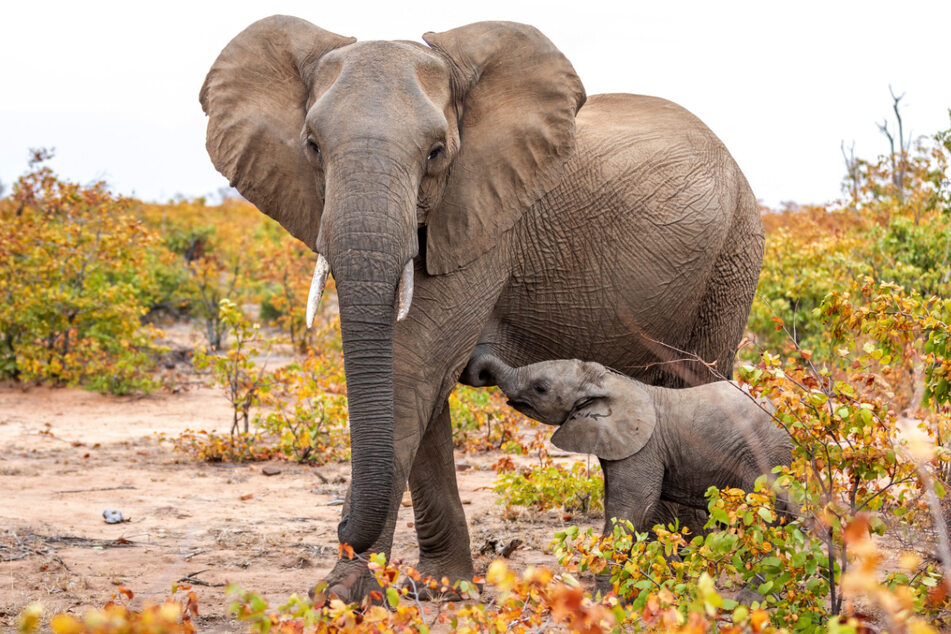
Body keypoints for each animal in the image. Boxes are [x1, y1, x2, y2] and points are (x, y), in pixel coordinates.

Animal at [463, 354, 792, 540]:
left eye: (540, 388)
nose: (472, 369)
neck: (610, 381)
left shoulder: (643, 449)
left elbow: (631, 510)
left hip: (764, 455)